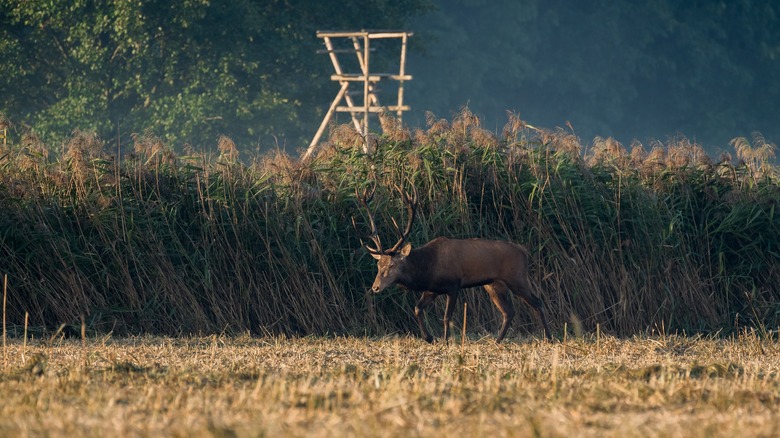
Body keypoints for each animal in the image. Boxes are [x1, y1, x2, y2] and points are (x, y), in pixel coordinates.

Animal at [356, 185, 552, 342]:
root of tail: (524, 251)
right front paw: (429, 338)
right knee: (508, 311)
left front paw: (445, 341)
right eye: (378, 266)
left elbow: (446, 317)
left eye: (392, 265)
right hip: (493, 284)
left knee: (538, 302)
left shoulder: (453, 284)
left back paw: (549, 338)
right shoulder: (432, 288)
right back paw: (497, 341)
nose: (375, 287)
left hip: (517, 277)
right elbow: (417, 308)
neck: (427, 269)